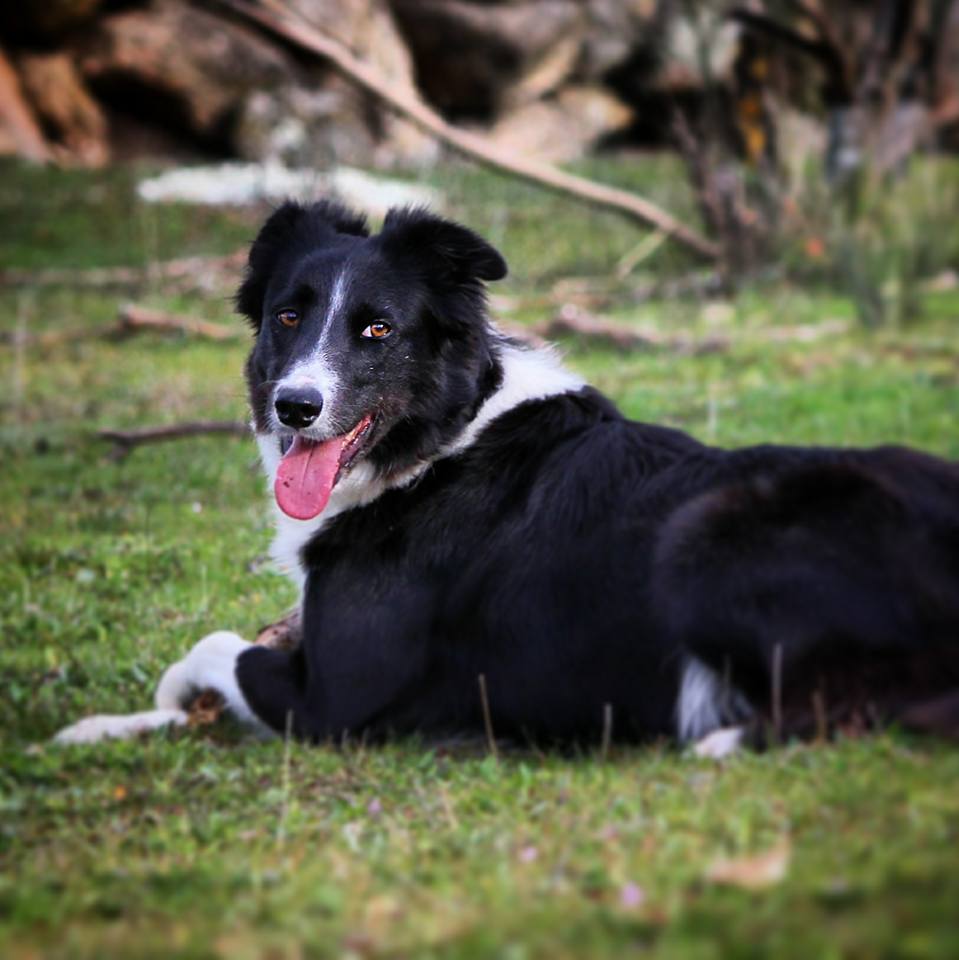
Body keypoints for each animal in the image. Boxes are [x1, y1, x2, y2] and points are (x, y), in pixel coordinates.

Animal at [56, 202, 959, 752]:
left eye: (377, 329)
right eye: (287, 316)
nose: (294, 408)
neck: (439, 445)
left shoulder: (337, 701)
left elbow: (212, 647)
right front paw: (103, 725)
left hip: (703, 533)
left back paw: (719, 737)